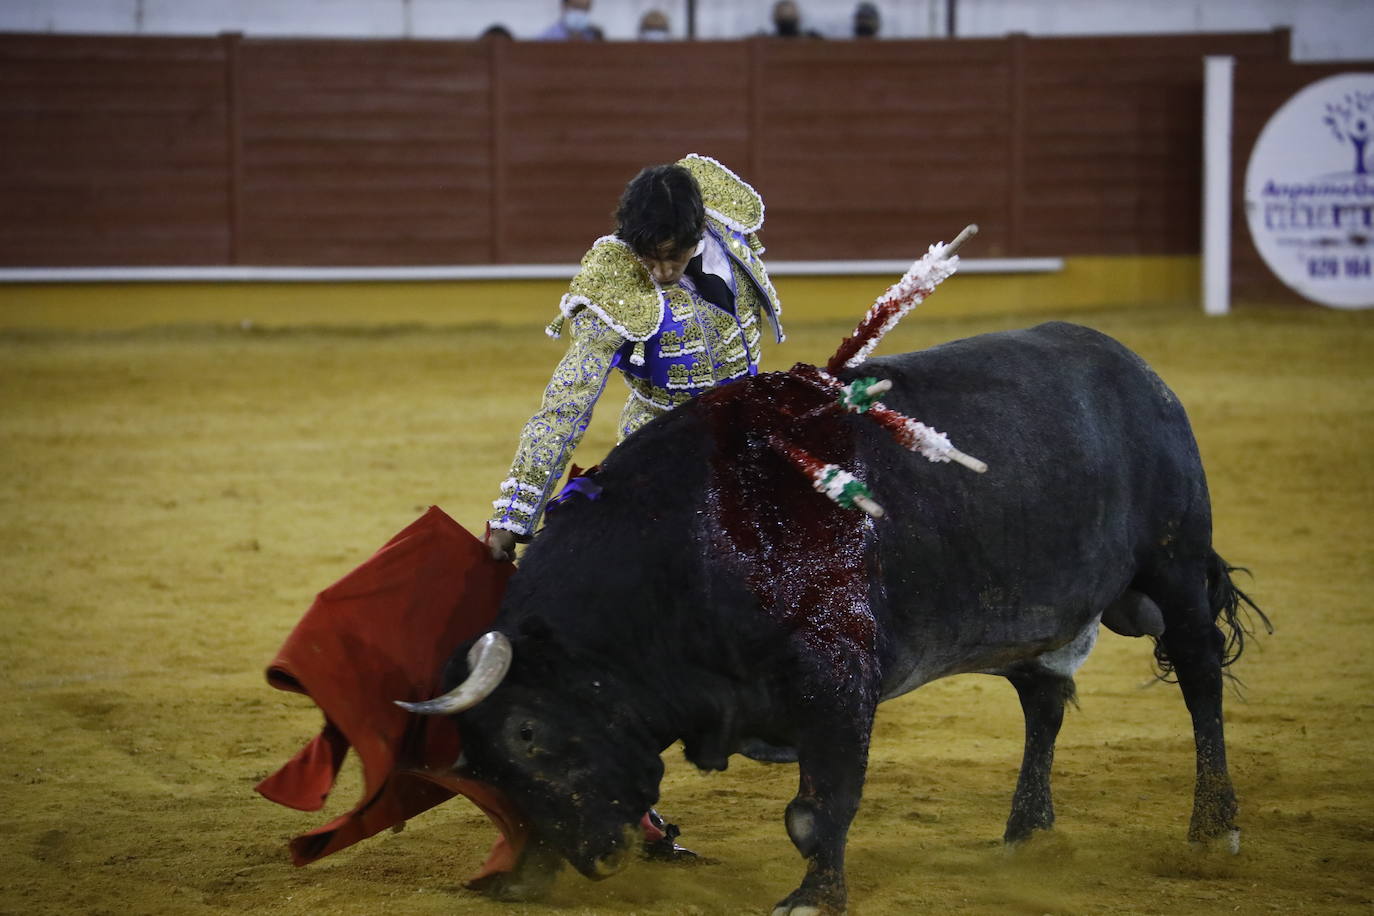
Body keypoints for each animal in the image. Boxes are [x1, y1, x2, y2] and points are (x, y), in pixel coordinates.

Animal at [409, 321, 1264, 911]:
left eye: (528, 735)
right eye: (480, 769)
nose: (590, 861)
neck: (692, 544)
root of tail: (1140, 372)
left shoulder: (838, 679)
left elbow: (819, 809)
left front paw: (812, 897)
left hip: (1176, 567)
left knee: (1200, 681)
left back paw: (1213, 830)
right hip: (1040, 619)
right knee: (1044, 703)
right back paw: (1025, 835)